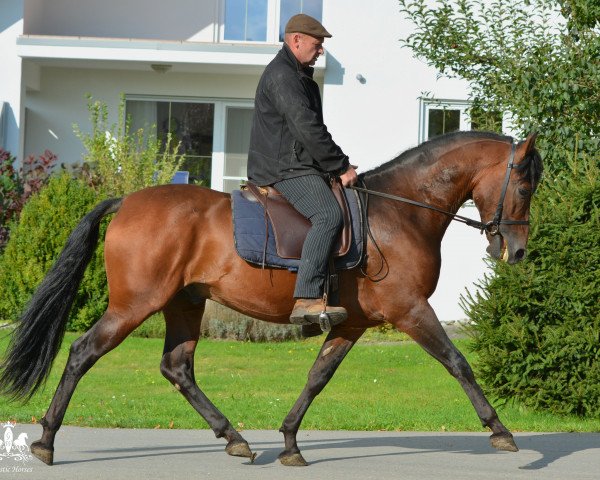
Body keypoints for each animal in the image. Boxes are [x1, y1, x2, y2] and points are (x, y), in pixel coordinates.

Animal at [0, 130, 544, 464]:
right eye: (524, 184)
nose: (516, 251)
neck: (400, 211)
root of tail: (127, 200)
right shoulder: (410, 311)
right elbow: (458, 363)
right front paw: (500, 430)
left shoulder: (352, 324)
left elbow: (317, 378)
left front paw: (288, 441)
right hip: (135, 306)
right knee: (82, 352)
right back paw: (46, 440)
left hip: (185, 304)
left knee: (177, 368)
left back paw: (235, 438)